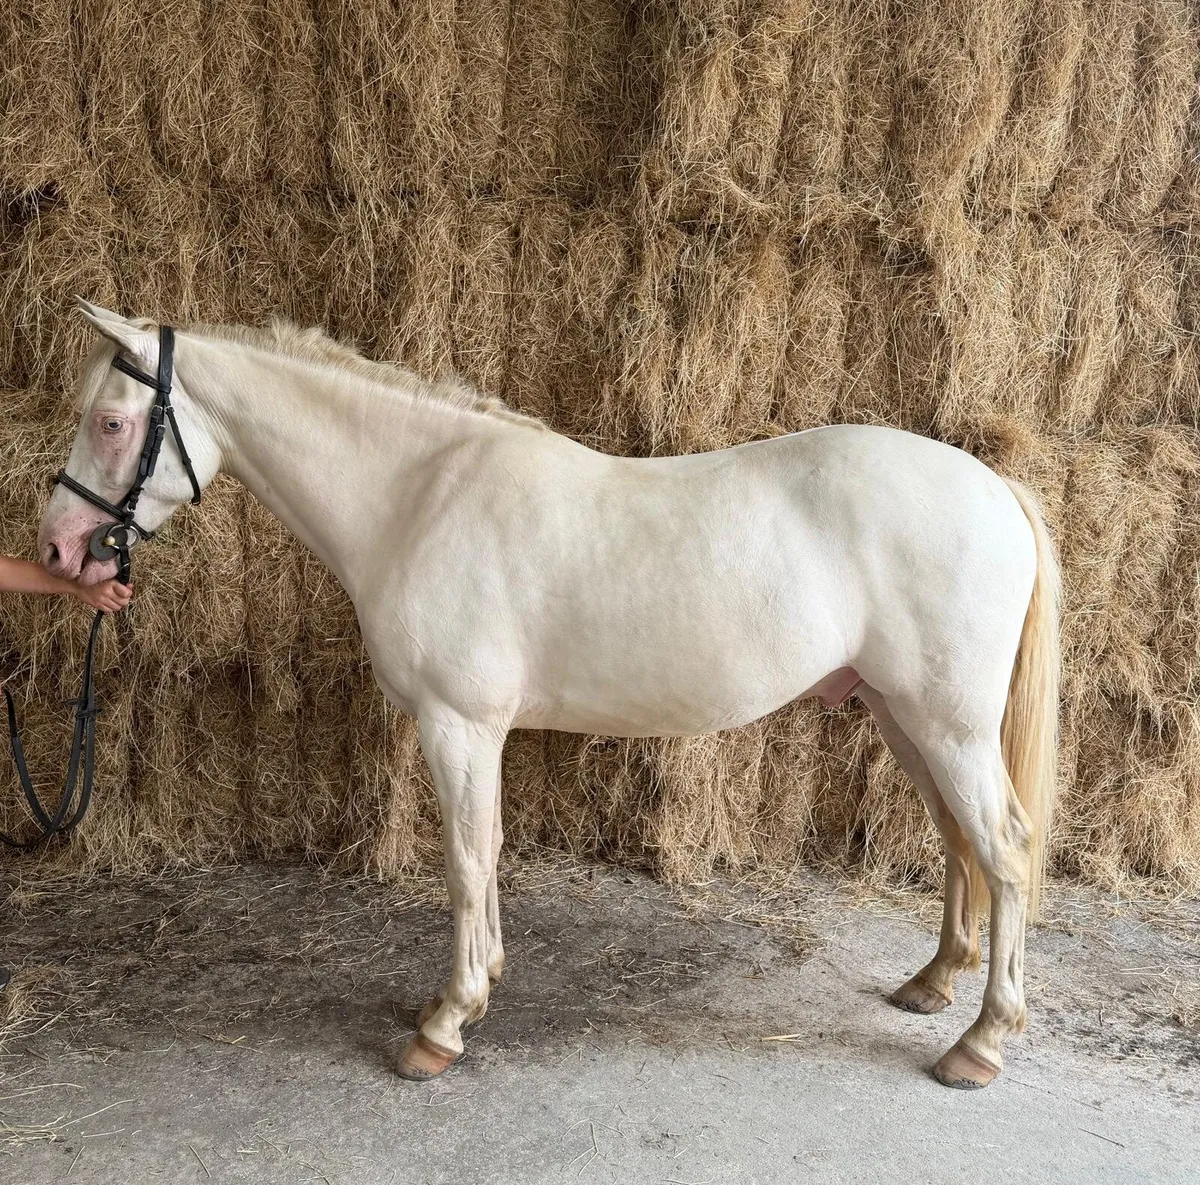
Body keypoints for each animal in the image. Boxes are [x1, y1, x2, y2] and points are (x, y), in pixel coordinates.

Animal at [39, 300, 1059, 1089]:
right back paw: (934, 981)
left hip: (947, 724)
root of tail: (996, 487)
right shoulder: (475, 731)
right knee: (959, 839)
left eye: (111, 422)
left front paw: (444, 1025)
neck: (419, 495)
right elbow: (486, 854)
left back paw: (979, 1042)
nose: (56, 549)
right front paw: (473, 985)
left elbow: (464, 859)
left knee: (1006, 848)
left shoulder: (458, 724)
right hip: (905, 716)